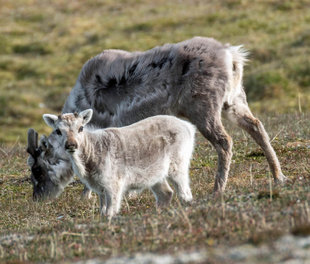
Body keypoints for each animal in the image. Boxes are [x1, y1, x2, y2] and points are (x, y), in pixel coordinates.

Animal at [42, 109, 195, 217]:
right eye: (58, 131)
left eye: (81, 128)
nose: (71, 145)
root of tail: (189, 127)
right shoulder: (100, 188)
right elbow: (102, 212)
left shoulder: (114, 183)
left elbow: (111, 212)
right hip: (156, 175)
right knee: (166, 193)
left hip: (179, 163)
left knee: (185, 193)